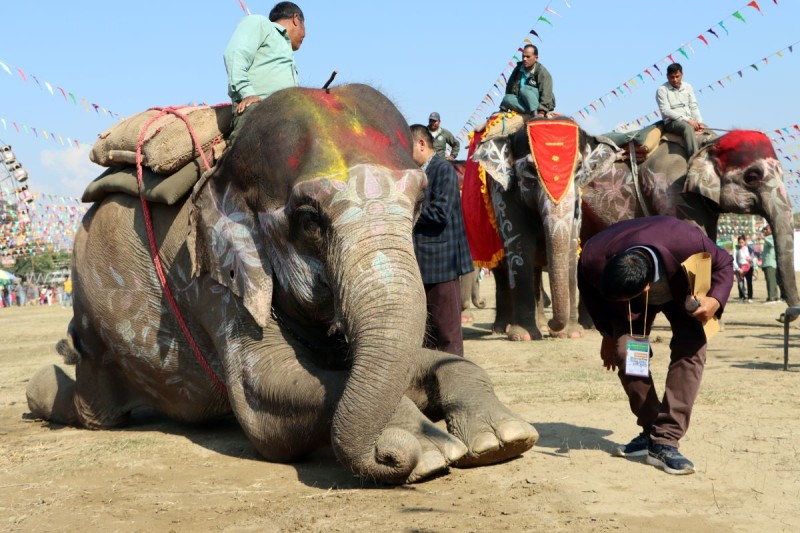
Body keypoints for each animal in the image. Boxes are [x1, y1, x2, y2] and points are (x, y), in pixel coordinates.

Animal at [26, 82, 536, 482]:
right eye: (309, 219)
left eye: (418, 205)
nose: (388, 453)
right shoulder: (210, 280)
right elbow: (269, 393)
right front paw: (429, 450)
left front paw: (505, 439)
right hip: (95, 313)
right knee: (94, 405)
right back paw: (41, 386)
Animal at [476, 118, 620, 338]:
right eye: (530, 169)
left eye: (579, 168)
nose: (554, 327)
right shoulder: (503, 191)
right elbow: (520, 246)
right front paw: (522, 336)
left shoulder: (577, 202)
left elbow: (571, 245)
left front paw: (571, 334)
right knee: (502, 271)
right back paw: (502, 329)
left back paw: (541, 326)